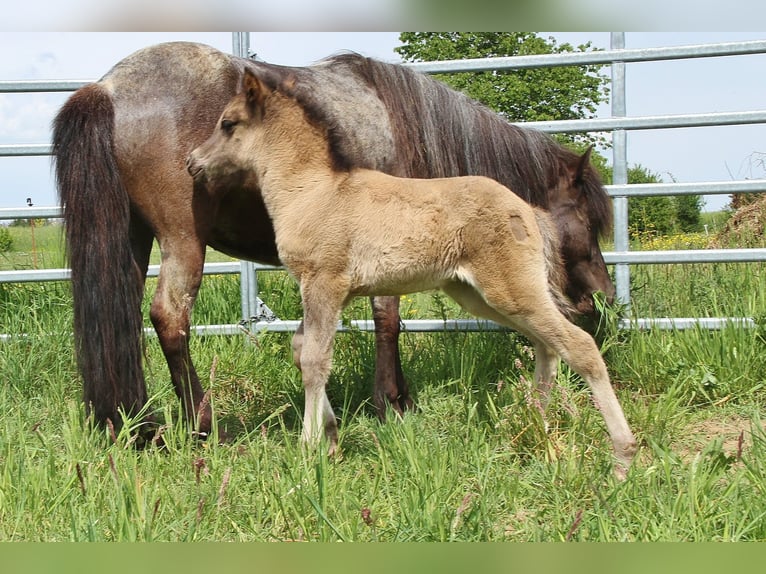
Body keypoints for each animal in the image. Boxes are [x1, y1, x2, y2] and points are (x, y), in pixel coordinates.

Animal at [52, 41, 615, 437]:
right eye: (589, 221)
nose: (601, 301)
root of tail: (109, 88)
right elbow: (388, 321)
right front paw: (391, 403)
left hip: (130, 239)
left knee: (119, 321)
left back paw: (135, 425)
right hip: (182, 240)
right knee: (169, 319)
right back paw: (202, 424)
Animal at [186, 70, 637, 477]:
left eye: (229, 123)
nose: (193, 163)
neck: (313, 191)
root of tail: (528, 210)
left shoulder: (324, 282)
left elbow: (315, 359)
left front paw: (310, 448)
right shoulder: (331, 291)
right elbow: (302, 350)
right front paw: (330, 437)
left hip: (510, 291)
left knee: (579, 345)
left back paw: (622, 458)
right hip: (481, 295)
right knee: (546, 346)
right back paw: (533, 429)